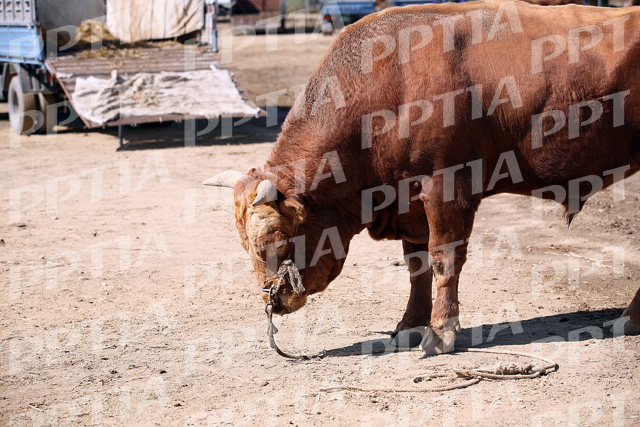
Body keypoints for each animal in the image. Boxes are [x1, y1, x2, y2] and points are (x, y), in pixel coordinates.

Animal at [206, 0, 640, 354]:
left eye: (274, 239)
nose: (273, 301)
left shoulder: (446, 185)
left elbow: (443, 257)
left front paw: (440, 331)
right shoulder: (409, 199)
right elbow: (417, 266)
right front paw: (409, 325)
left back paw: (627, 318)